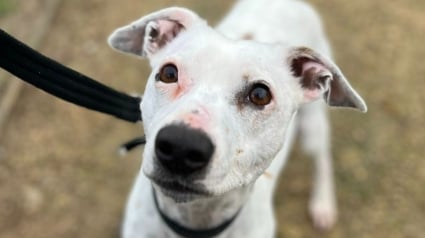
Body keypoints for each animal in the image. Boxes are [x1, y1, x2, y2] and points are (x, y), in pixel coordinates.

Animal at [107, 0, 366, 237]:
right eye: (169, 73)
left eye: (260, 95)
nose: (181, 146)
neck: (196, 221)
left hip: (313, 127)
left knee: (322, 158)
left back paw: (323, 204)